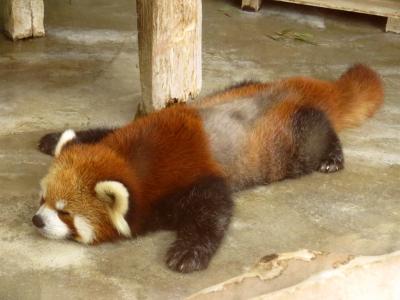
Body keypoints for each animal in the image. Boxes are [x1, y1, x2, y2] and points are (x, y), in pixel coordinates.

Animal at [32, 64, 382, 274]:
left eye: (65, 213)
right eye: (42, 199)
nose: (36, 220)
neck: (138, 161)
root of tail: (296, 88)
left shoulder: (191, 178)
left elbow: (213, 210)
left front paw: (187, 253)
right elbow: (104, 130)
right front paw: (55, 138)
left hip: (296, 142)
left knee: (319, 131)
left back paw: (332, 157)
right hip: (242, 85)